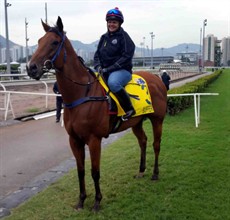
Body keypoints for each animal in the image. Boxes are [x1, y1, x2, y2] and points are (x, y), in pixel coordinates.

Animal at [27, 16, 167, 211]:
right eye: (39, 41)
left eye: (54, 42)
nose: (31, 68)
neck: (81, 94)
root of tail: (157, 79)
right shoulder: (74, 140)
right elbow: (81, 171)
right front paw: (81, 200)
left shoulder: (94, 139)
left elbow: (95, 171)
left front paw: (97, 201)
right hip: (136, 122)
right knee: (143, 141)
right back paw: (141, 171)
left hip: (157, 120)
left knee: (156, 144)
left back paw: (155, 173)